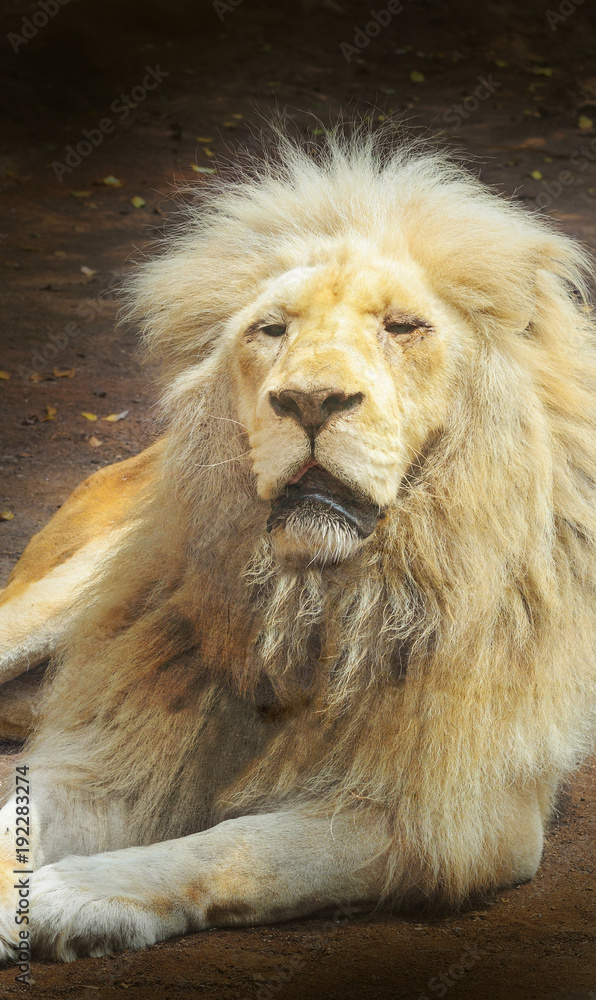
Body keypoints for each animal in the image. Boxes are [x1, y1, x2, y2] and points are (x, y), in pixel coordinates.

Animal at [1, 130, 596, 963]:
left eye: (403, 327)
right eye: (272, 329)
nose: (310, 401)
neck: (320, 605)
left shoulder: (453, 819)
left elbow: (239, 847)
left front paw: (74, 894)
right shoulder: (117, 742)